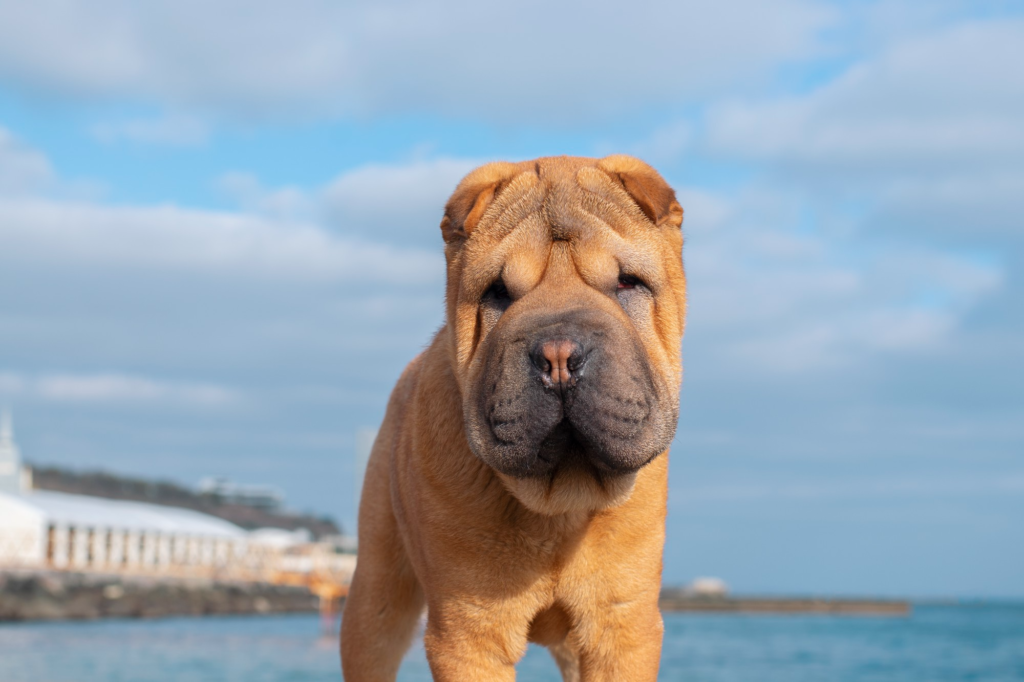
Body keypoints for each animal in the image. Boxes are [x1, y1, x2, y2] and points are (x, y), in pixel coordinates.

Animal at [339, 155, 684, 679]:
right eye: (497, 292)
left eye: (627, 282)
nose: (559, 355)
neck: (561, 505)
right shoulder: (468, 632)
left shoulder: (622, 624)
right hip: (376, 596)